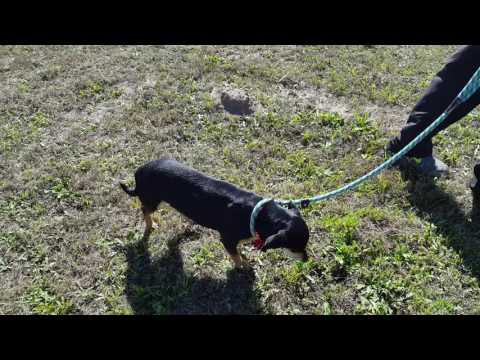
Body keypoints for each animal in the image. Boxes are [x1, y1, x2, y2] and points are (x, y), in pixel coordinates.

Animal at [121, 159, 312, 268]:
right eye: (295, 247)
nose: (306, 260)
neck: (257, 214)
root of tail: (139, 170)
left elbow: (238, 251)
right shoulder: (227, 239)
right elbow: (235, 256)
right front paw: (243, 265)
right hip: (152, 199)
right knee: (144, 210)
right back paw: (151, 224)